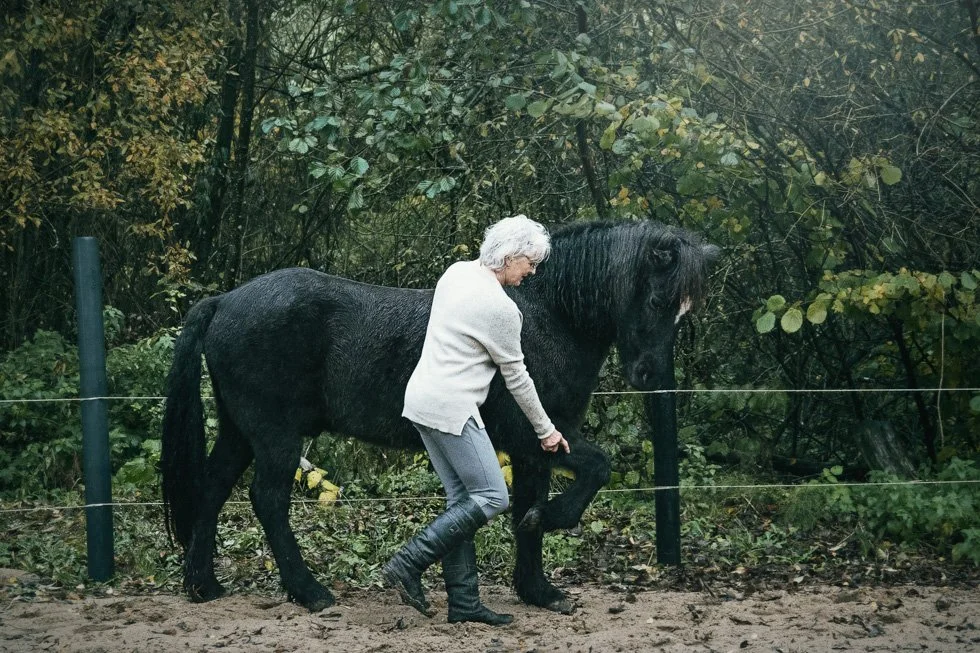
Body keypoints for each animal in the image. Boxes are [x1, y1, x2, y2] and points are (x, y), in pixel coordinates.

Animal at [161, 218, 718, 614]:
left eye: (684, 310)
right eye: (657, 299)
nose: (648, 374)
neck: (546, 314)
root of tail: (224, 300)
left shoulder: (540, 442)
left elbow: (533, 503)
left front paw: (537, 588)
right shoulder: (536, 433)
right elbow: (588, 473)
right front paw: (549, 538)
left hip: (240, 432)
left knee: (212, 489)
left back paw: (204, 584)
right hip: (275, 436)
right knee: (269, 500)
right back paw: (309, 591)